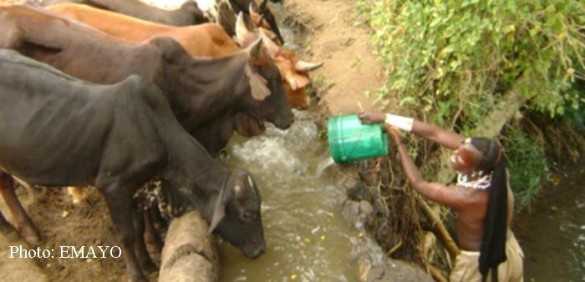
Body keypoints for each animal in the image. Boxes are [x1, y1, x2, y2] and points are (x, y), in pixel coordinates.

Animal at [0, 49, 264, 280]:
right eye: (248, 213)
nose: (262, 249)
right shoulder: (113, 186)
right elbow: (126, 234)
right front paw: (138, 275)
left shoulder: (136, 187)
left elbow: (137, 229)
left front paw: (148, 264)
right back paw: (14, 231)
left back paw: (28, 231)